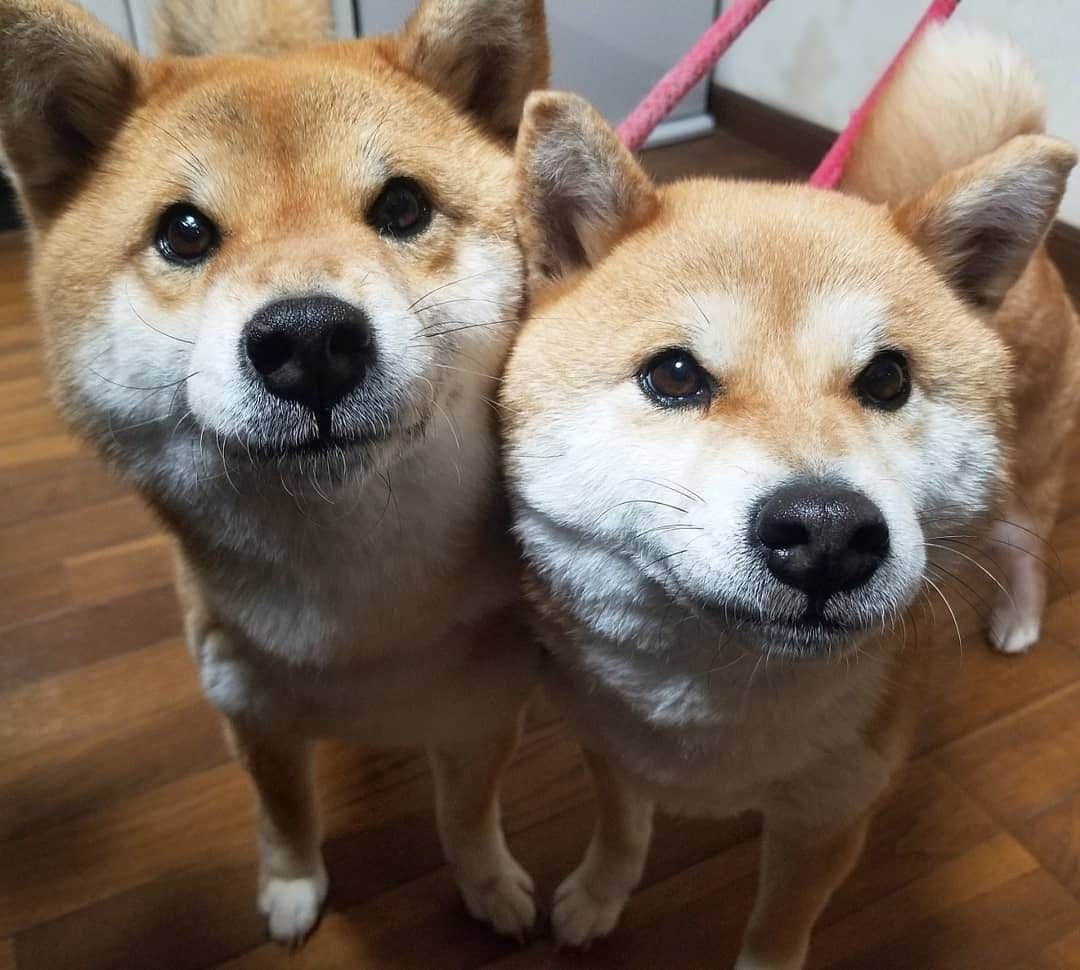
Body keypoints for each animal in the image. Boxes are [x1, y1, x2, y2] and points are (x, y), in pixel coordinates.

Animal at [0, 0, 548, 941]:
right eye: (183, 232)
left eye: (403, 205)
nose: (310, 342)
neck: (357, 615)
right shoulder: (250, 712)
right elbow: (286, 811)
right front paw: (292, 888)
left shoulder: (484, 708)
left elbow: (468, 812)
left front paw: (487, 883)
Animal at [501, 22, 1075, 967]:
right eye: (674, 376)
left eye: (887, 379)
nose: (828, 533)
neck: (721, 698)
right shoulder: (607, 744)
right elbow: (622, 831)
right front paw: (597, 896)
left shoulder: (829, 816)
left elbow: (778, 929)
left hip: (1030, 478)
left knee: (1026, 548)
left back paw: (1019, 618)